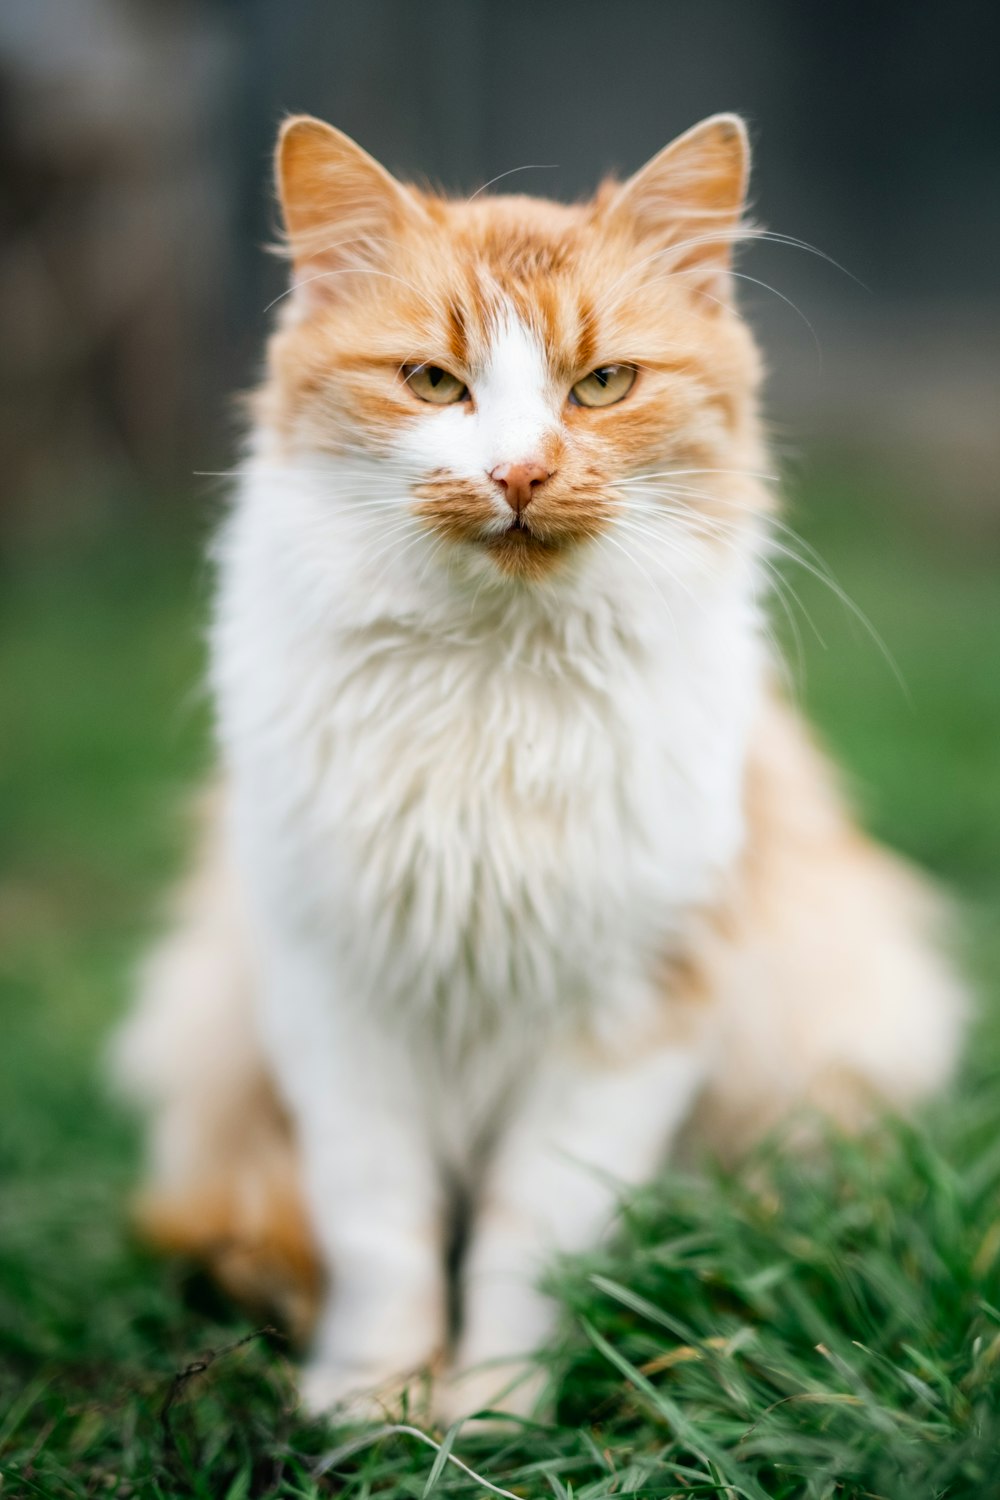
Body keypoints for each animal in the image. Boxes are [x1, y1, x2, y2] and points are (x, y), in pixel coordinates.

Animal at [113, 111, 965, 1422]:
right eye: (432, 381)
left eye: (602, 383)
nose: (517, 474)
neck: (492, 682)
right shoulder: (338, 996)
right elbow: (382, 1236)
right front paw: (371, 1404)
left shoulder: (629, 1011)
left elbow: (530, 1239)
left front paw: (493, 1410)